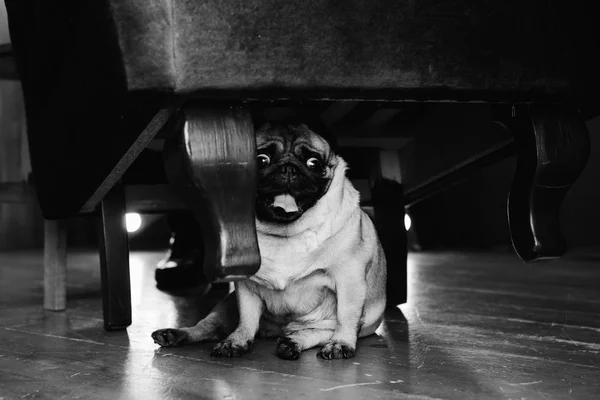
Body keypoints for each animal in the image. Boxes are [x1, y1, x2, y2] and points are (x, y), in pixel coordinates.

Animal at [152, 121, 386, 360]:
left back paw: (294, 343)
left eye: (313, 163)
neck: (286, 234)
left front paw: (341, 343)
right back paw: (176, 335)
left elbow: (346, 315)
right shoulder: (246, 286)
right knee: (209, 327)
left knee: (318, 331)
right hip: (225, 306)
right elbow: (246, 318)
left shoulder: (349, 278)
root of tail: (278, 330)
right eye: (262, 159)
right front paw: (238, 341)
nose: (288, 168)